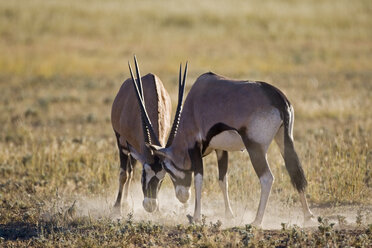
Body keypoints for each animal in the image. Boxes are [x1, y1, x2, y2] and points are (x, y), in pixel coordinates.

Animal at [111, 56, 172, 213]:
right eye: (144, 175)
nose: (151, 206)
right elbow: (123, 174)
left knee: (131, 170)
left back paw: (127, 202)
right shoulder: (122, 143)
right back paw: (123, 203)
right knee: (128, 172)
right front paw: (117, 208)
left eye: (162, 179)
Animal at [147, 71, 316, 227]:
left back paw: (256, 221)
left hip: (255, 148)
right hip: (284, 140)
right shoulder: (221, 150)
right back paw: (308, 217)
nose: (182, 197)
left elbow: (198, 179)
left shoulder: (195, 146)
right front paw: (229, 215)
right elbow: (223, 180)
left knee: (267, 178)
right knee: (296, 173)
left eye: (167, 169)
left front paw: (196, 218)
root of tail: (278, 98)